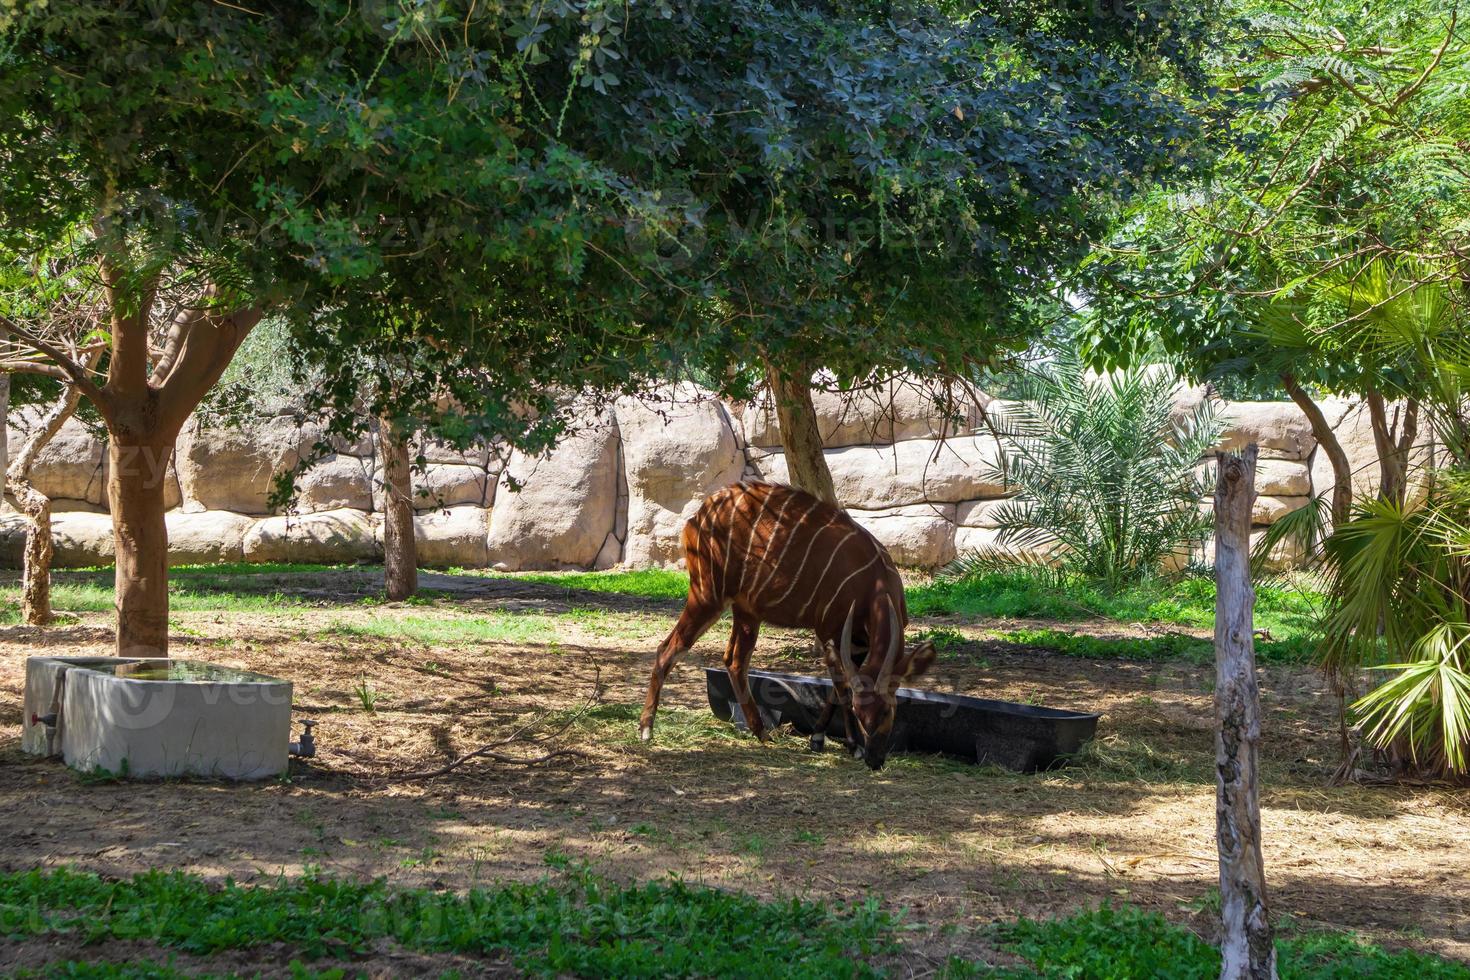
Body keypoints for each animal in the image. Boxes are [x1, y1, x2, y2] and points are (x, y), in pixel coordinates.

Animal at [637, 478, 934, 769]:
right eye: (860, 713)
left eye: (887, 710)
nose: (875, 760)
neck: (875, 584)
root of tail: (697, 517)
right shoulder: (828, 631)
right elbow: (841, 686)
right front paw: (848, 745)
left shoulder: (856, 645)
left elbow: (839, 686)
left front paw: (819, 738)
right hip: (707, 595)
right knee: (669, 648)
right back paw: (646, 729)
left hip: (746, 611)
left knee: (734, 660)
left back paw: (761, 732)